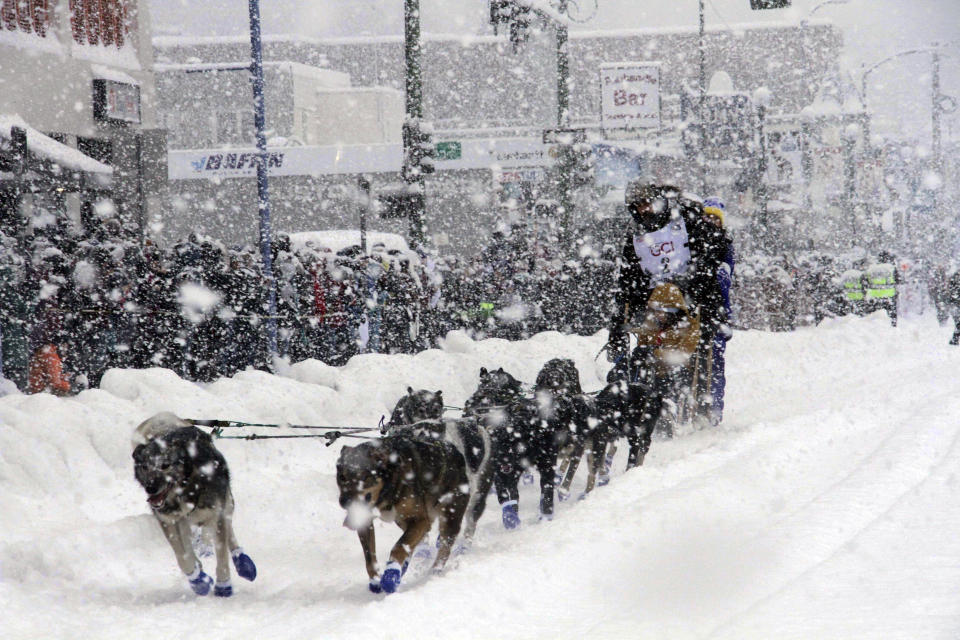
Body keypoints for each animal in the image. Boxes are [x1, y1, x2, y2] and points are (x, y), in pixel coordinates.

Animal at [133, 412, 258, 596]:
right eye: (144, 466)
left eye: (165, 465)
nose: (151, 487)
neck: (186, 487)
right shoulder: (168, 521)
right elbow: (182, 556)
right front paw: (198, 580)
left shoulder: (216, 513)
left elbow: (222, 552)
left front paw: (223, 585)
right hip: (184, 521)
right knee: (189, 541)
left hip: (226, 503)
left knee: (228, 531)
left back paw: (242, 562)